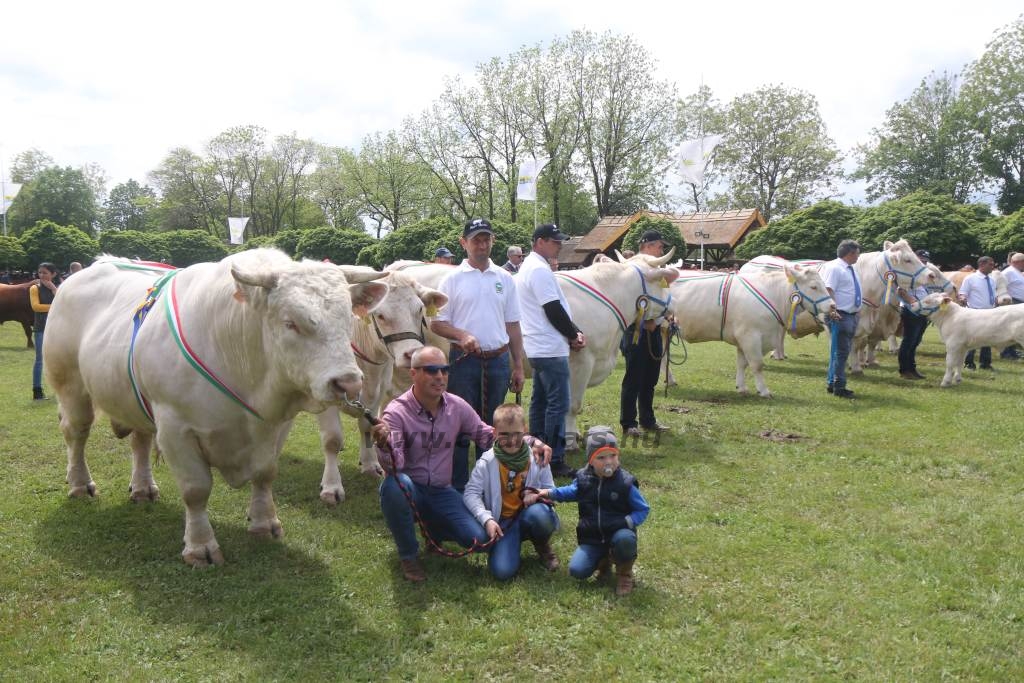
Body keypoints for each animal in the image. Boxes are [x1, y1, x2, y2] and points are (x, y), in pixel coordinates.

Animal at [44, 250, 389, 565]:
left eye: (348, 319)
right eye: (291, 323)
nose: (348, 383)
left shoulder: (277, 426)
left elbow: (265, 473)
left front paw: (264, 523)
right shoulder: (175, 428)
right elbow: (196, 490)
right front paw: (200, 546)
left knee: (139, 442)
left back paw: (142, 488)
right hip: (71, 386)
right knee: (76, 434)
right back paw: (80, 484)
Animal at [313, 270, 446, 505]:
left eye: (419, 309)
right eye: (381, 315)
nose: (412, 354)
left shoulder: (377, 392)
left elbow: (367, 427)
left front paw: (370, 465)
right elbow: (332, 439)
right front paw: (331, 487)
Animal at [667, 266, 835, 397]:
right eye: (813, 286)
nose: (833, 305)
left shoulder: (746, 338)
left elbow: (742, 364)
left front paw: (741, 387)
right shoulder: (749, 335)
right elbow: (757, 364)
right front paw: (764, 391)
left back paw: (670, 381)